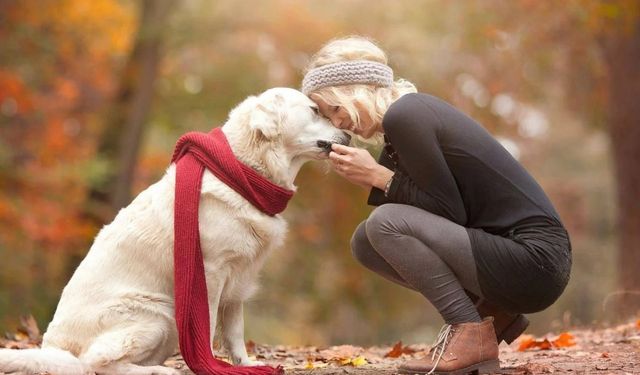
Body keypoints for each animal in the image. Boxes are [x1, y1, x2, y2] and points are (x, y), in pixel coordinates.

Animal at [0, 89, 350, 375]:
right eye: (313, 110)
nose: (348, 134)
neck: (244, 172)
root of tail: (54, 348)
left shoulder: (238, 279)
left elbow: (235, 331)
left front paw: (245, 365)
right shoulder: (210, 272)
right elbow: (208, 326)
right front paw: (210, 364)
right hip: (159, 314)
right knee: (95, 363)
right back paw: (159, 371)